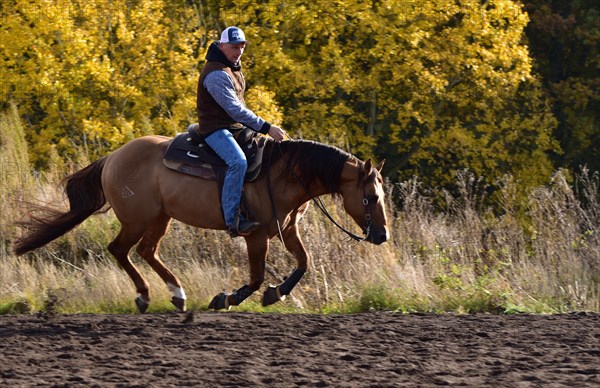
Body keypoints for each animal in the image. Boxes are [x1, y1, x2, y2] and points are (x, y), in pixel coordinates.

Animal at [14, 135, 392, 314]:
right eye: (371, 197)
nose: (382, 235)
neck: (282, 173)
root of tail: (113, 158)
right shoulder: (256, 235)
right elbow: (256, 277)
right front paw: (228, 298)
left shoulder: (286, 231)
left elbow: (303, 264)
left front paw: (276, 293)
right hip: (138, 219)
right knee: (120, 250)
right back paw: (144, 296)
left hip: (160, 218)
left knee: (146, 251)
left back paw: (177, 294)